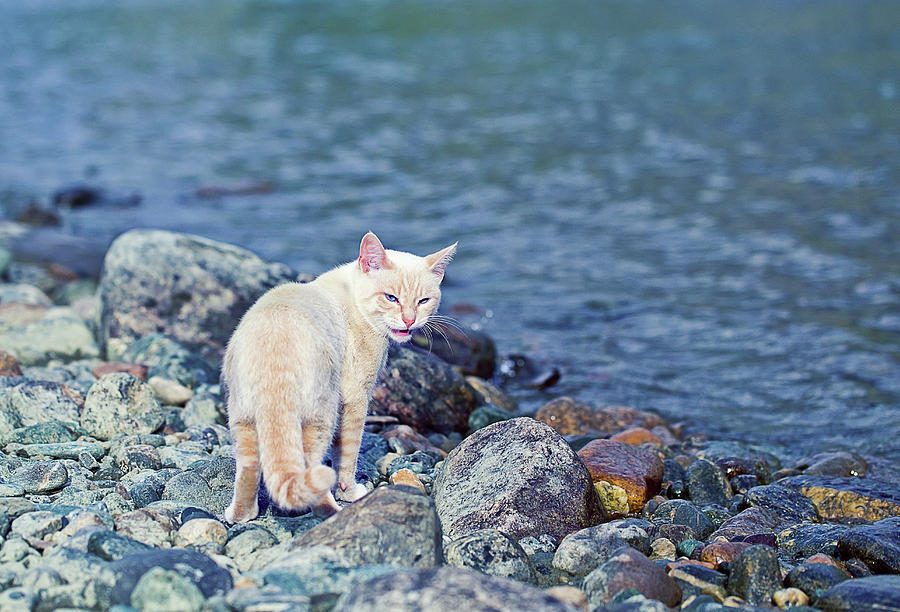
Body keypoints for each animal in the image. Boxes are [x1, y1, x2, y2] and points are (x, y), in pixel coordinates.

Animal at [219, 232, 458, 524]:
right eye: (391, 298)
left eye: (423, 301)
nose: (409, 320)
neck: (352, 294)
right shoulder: (356, 398)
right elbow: (348, 453)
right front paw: (349, 492)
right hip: (322, 414)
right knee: (311, 468)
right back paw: (331, 511)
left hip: (241, 417)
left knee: (248, 467)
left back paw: (241, 515)